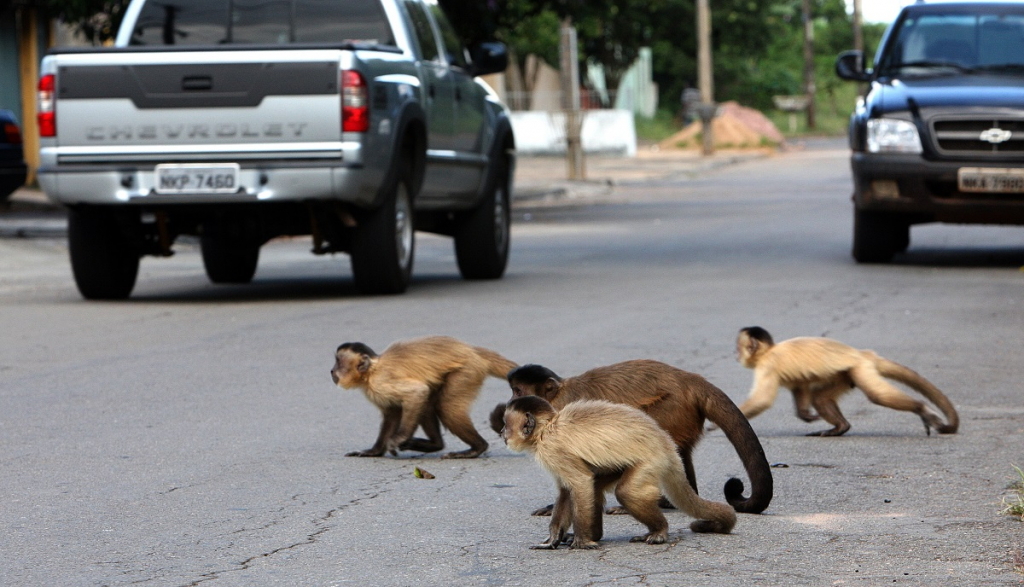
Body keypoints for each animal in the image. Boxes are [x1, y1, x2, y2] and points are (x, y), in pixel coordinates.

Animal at [331, 333, 516, 456]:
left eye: (339, 362)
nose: (332, 370)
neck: (371, 371)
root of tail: (472, 350)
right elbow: (392, 412)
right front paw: (374, 451)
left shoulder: (380, 382)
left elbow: (417, 392)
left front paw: (398, 439)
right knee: (429, 403)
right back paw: (436, 445)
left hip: (468, 371)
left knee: (445, 407)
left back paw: (478, 448)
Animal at [491, 358, 770, 514]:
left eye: (517, 391)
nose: (509, 401)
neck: (556, 396)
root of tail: (690, 380)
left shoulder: (561, 410)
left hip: (672, 405)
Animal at [501, 393, 737, 549]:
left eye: (506, 424)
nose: (502, 432)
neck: (547, 428)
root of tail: (665, 442)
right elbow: (567, 491)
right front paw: (553, 540)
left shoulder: (552, 448)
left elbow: (580, 482)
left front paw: (582, 541)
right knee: (597, 485)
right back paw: (598, 534)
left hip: (653, 460)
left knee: (626, 492)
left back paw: (659, 530)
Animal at [737, 327, 958, 436]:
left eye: (739, 349)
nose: (736, 355)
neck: (769, 351)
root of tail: (863, 353)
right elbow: (801, 386)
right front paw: (805, 415)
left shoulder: (767, 365)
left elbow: (762, 400)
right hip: (844, 375)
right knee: (820, 397)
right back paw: (840, 427)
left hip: (860, 368)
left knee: (877, 395)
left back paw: (922, 408)